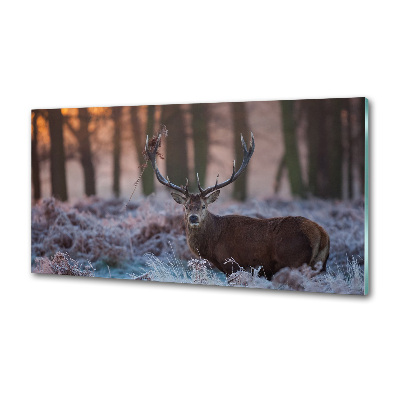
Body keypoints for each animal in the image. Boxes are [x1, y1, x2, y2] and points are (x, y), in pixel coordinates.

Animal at [145, 131, 330, 278]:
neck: (212, 246)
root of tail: (321, 235)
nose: (193, 218)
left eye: (204, 206)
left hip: (294, 261)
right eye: (186, 206)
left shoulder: (233, 265)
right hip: (320, 266)